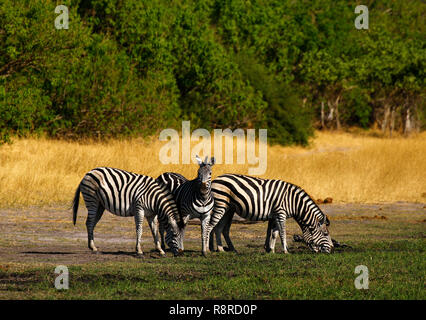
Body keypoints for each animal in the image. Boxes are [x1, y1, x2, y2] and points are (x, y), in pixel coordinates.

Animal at [205, 174, 334, 256]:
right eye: (325, 234)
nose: (332, 249)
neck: (294, 202)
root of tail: (215, 179)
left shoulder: (275, 215)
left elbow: (274, 233)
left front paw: (271, 250)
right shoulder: (281, 213)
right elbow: (282, 233)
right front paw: (285, 251)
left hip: (228, 209)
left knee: (220, 228)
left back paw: (223, 249)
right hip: (220, 204)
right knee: (210, 227)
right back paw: (207, 250)